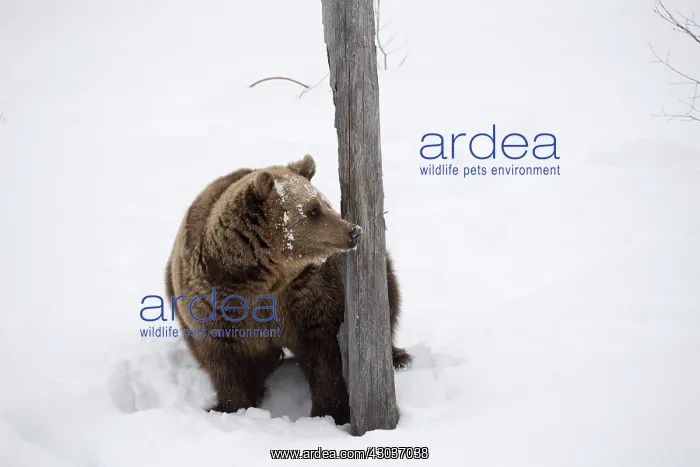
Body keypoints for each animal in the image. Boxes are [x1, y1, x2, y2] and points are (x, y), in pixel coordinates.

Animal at [165, 155, 410, 425]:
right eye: (313, 210)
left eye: (325, 203)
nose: (354, 230)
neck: (266, 277)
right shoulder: (216, 303)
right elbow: (225, 361)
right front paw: (231, 406)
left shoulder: (307, 294)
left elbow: (325, 354)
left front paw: (331, 411)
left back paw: (398, 356)